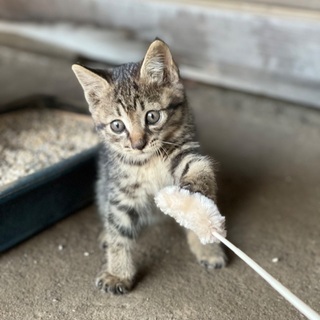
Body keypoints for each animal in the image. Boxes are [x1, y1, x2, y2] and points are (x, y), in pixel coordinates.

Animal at [72, 39, 226, 296]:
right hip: (103, 183)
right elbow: (118, 230)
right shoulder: (121, 190)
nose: (138, 144)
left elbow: (200, 171)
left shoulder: (187, 151)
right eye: (117, 126)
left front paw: (193, 201)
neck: (148, 161)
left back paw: (208, 249)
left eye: (152, 116)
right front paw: (118, 273)